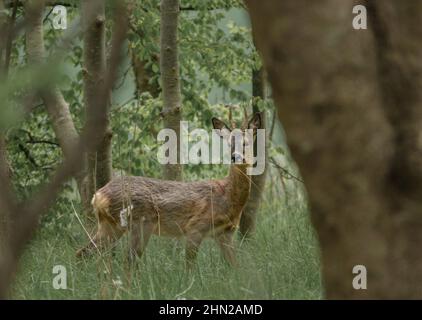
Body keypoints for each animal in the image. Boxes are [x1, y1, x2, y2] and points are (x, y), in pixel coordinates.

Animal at [76, 111, 260, 266]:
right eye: (229, 144)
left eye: (246, 143)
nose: (235, 157)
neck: (227, 196)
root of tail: (98, 195)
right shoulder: (195, 226)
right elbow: (189, 267)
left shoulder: (225, 233)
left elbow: (235, 267)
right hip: (140, 221)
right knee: (128, 261)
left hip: (111, 225)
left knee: (82, 253)